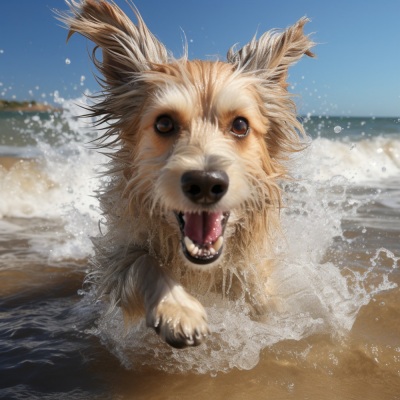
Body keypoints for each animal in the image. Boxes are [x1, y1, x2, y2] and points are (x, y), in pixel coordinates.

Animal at [61, 0, 314, 348]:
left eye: (240, 125)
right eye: (165, 123)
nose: (205, 183)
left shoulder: (250, 273)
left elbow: (263, 304)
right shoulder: (117, 259)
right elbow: (144, 263)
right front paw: (178, 310)